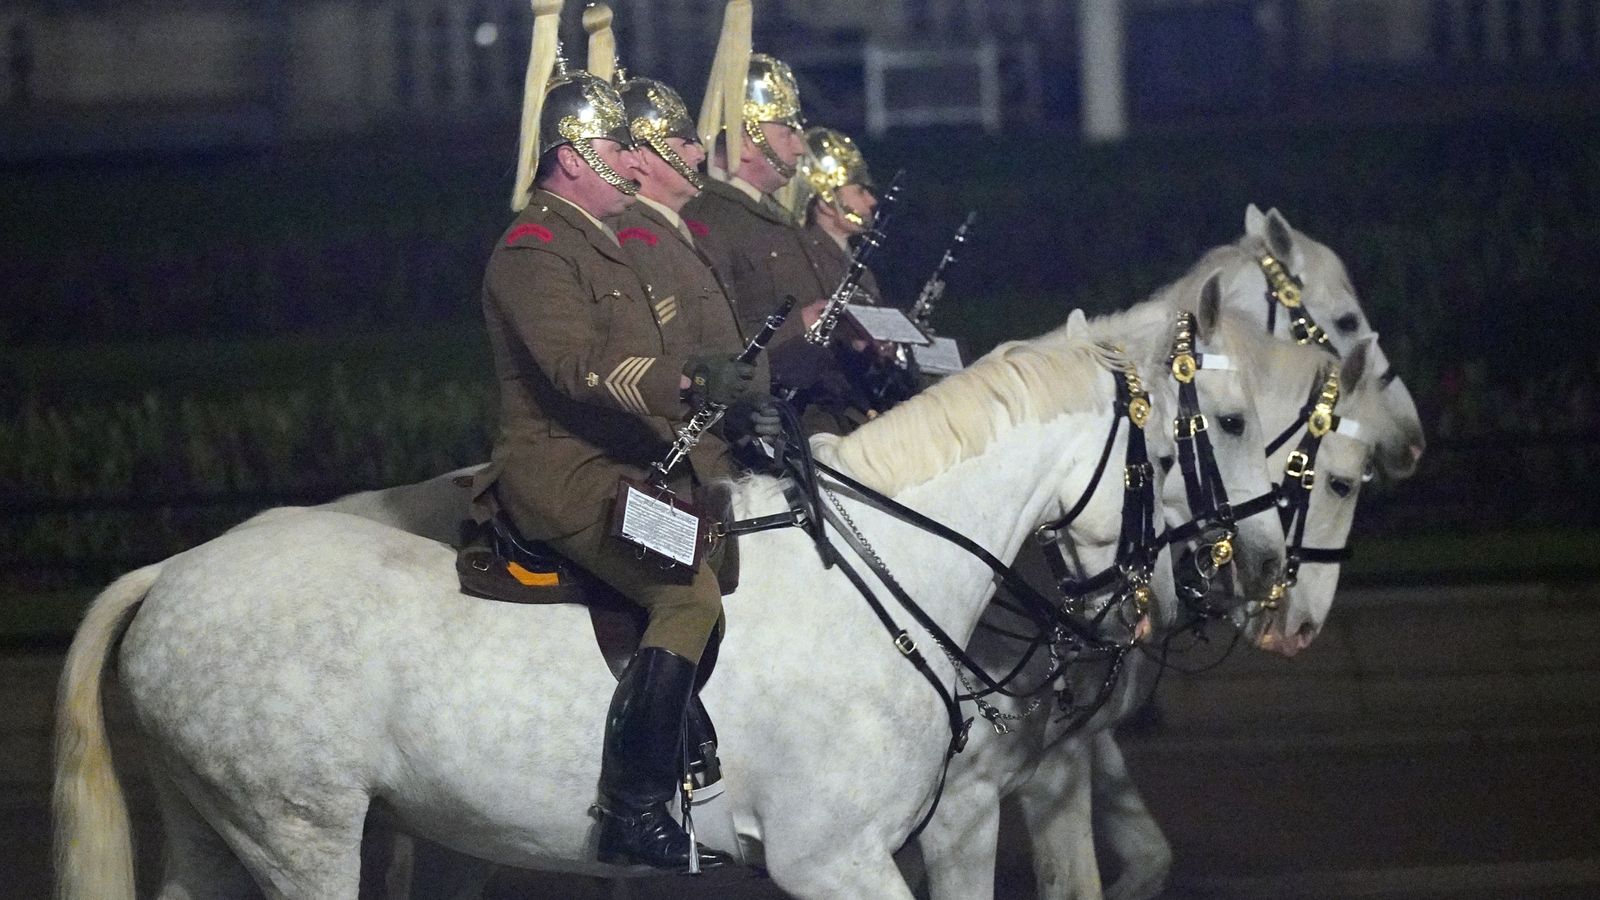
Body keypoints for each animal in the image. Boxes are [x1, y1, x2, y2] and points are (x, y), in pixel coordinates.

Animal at [53, 293, 1286, 890]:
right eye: (1207, 432)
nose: (1245, 573)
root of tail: (175, 571)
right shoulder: (831, 861)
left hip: (217, 832)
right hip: (300, 836)